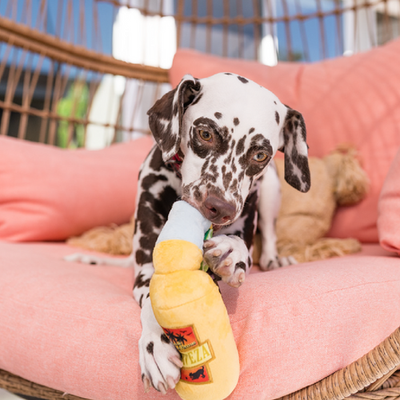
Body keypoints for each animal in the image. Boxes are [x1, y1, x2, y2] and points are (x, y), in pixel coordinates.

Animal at [65, 72, 310, 394]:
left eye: (260, 154)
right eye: (205, 134)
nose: (220, 207)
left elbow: (242, 246)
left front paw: (231, 251)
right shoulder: (145, 269)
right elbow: (152, 299)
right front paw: (156, 346)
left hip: (270, 188)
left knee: (268, 236)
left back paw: (274, 259)